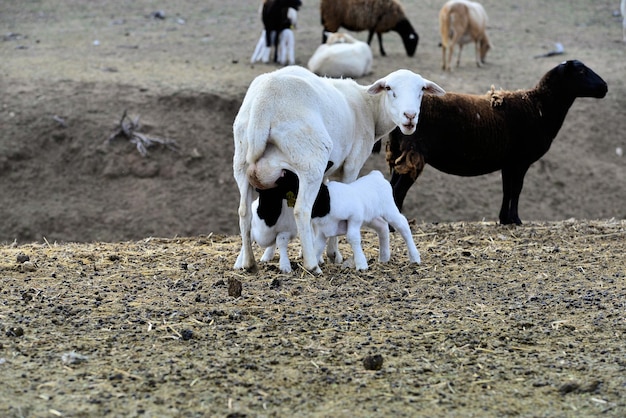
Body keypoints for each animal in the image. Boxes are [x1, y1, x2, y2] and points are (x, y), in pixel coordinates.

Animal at [233, 65, 444, 274]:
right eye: (389, 88)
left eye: (422, 90)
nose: (410, 116)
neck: (369, 108)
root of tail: (264, 102)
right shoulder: (351, 164)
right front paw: (332, 254)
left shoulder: (327, 172)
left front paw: (310, 249)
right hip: (311, 160)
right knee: (302, 210)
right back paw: (312, 265)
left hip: (242, 164)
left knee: (244, 212)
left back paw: (248, 262)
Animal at [378, 58, 608, 225]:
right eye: (581, 72)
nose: (605, 87)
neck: (539, 106)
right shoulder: (520, 161)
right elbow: (516, 189)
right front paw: (516, 220)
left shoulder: (509, 162)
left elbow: (507, 190)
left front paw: (504, 219)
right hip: (413, 153)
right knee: (397, 190)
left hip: (400, 153)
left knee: (390, 188)